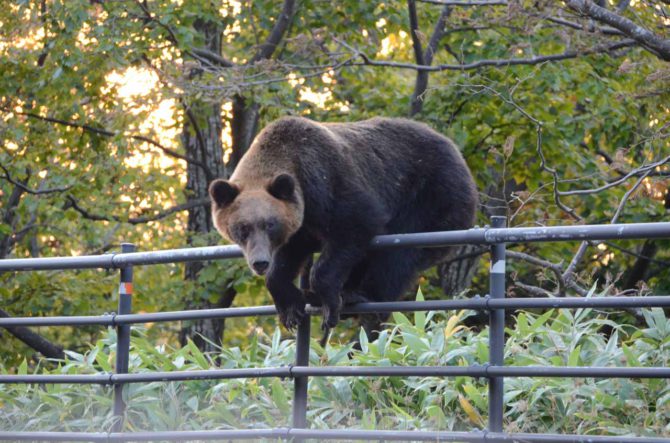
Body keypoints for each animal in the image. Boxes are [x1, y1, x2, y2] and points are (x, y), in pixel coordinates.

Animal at [210, 116, 478, 334]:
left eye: (269, 225)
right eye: (242, 228)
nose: (260, 262)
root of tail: (456, 151)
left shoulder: (327, 182)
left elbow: (354, 226)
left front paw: (328, 303)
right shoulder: (301, 222)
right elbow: (288, 258)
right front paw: (291, 309)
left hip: (432, 195)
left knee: (397, 253)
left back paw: (360, 296)